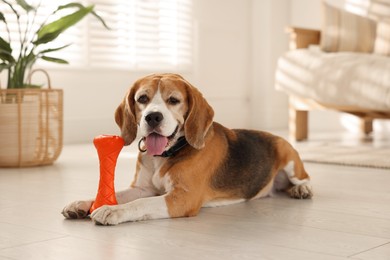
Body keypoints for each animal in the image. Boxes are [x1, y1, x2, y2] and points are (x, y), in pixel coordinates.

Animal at [64, 73, 314, 225]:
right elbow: (119, 194)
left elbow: (139, 204)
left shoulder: (182, 199)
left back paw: (301, 189)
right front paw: (82, 204)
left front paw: (112, 211)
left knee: (305, 178)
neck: (166, 154)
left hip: (289, 158)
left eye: (173, 100)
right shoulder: (142, 188)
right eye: (142, 98)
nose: (152, 117)